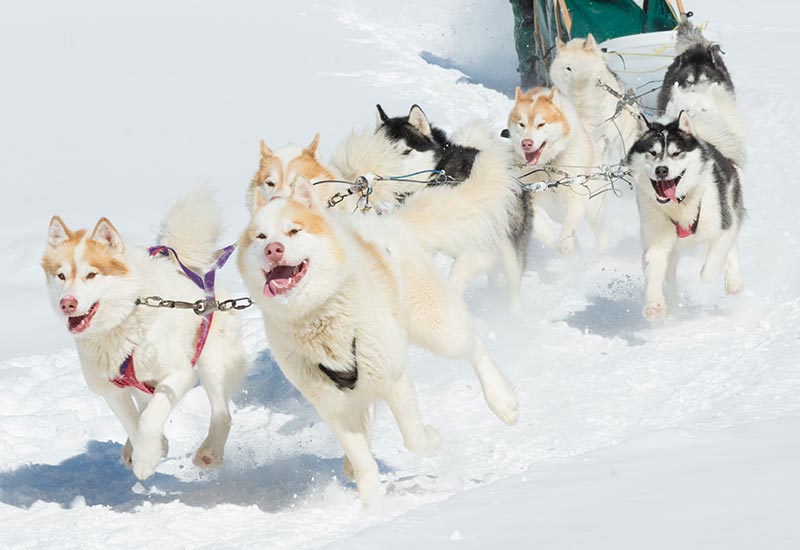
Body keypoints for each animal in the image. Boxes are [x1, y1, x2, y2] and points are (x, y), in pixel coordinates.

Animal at [238, 182, 520, 504]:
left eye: (294, 231)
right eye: (260, 237)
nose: (273, 250)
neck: (318, 318)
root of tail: (393, 223)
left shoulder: (394, 379)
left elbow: (414, 438)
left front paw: (432, 441)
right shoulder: (331, 405)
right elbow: (362, 460)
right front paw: (373, 504)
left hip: (438, 328)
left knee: (474, 347)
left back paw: (502, 401)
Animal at [332, 104, 532, 310]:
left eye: (406, 152)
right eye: (381, 150)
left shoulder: (480, 247)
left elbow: (458, 272)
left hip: (510, 254)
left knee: (513, 290)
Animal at [510, 87, 608, 256]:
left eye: (541, 124)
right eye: (521, 124)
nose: (526, 143)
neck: (547, 165)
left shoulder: (575, 196)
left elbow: (569, 223)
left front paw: (564, 244)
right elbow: (539, 225)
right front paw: (552, 240)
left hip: (594, 206)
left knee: (599, 228)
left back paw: (605, 251)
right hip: (555, 211)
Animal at [624, 112, 744, 322]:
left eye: (676, 153)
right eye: (652, 153)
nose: (661, 170)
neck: (680, 205)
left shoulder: (723, 226)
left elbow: (709, 269)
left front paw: (708, 275)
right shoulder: (656, 241)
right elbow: (653, 269)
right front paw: (654, 305)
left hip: (730, 208)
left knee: (731, 246)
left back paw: (733, 282)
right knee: (670, 280)